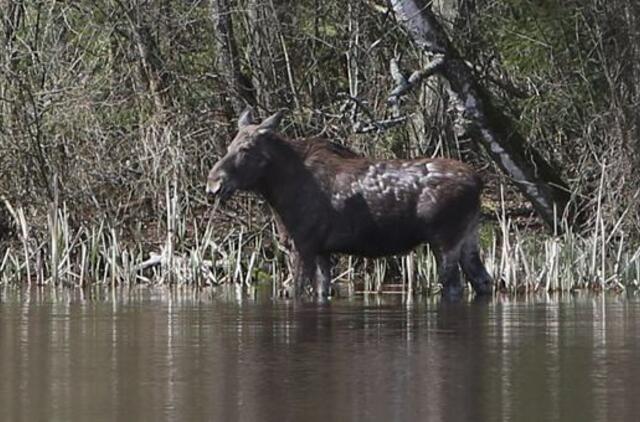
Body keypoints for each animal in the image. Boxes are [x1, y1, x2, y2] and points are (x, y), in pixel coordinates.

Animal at [208, 109, 492, 300]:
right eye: (230, 145)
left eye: (245, 148)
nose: (213, 185)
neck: (277, 193)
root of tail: (479, 181)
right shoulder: (322, 251)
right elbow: (322, 291)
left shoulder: (303, 245)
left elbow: (296, 292)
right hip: (469, 237)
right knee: (484, 281)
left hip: (445, 239)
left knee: (454, 286)